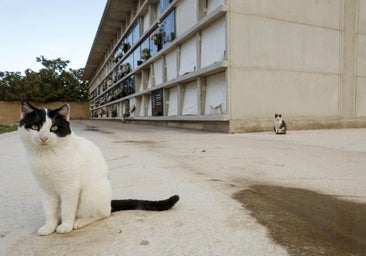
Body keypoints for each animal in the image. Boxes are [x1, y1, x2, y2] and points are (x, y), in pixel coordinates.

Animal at [18, 101, 179, 235]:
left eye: (54, 127)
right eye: (35, 127)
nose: (43, 137)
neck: (46, 156)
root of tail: (109, 201)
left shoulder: (70, 187)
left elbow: (68, 209)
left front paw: (66, 225)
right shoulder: (45, 189)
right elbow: (49, 210)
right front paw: (49, 227)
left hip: (90, 192)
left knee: (102, 214)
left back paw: (79, 221)